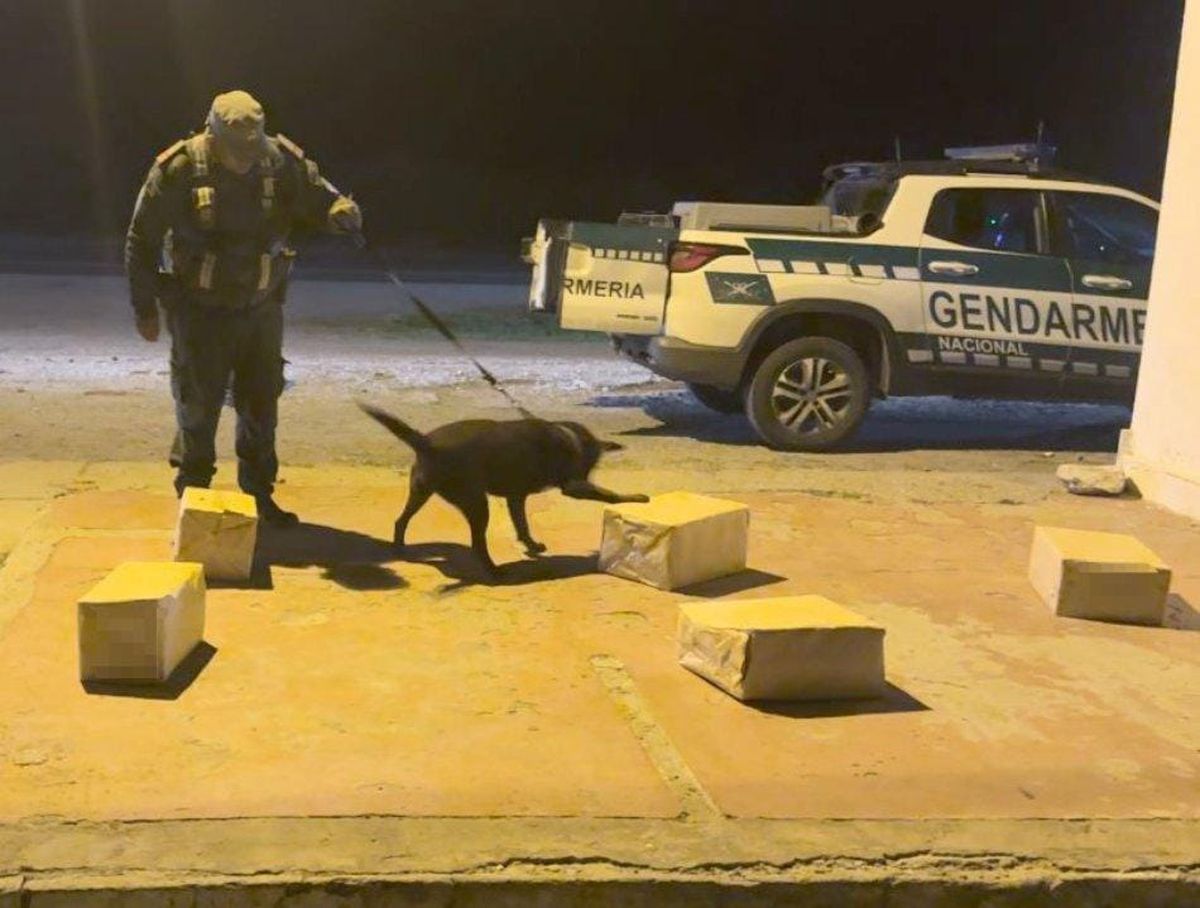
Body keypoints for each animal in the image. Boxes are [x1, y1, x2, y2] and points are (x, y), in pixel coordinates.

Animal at [359, 403, 649, 575]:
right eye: (589, 466)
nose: (587, 474)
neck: (570, 437)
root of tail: (426, 442)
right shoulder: (574, 487)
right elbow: (610, 493)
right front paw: (636, 497)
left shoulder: (515, 497)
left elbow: (522, 525)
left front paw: (531, 546)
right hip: (476, 503)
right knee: (477, 543)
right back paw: (494, 570)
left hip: (421, 491)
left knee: (400, 521)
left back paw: (400, 550)